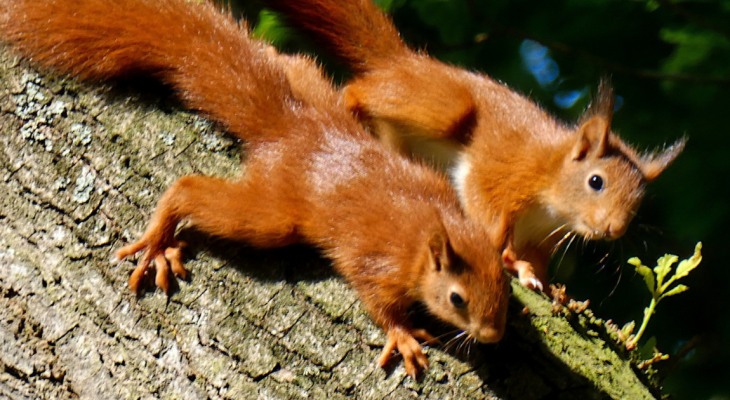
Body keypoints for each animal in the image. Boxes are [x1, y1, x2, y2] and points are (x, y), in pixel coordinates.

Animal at [0, 0, 510, 378]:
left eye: (504, 290)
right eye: (457, 299)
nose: (492, 336)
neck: (432, 229)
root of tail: (293, 130)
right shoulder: (377, 263)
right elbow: (379, 303)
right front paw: (402, 335)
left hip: (311, 88)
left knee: (295, 64)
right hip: (273, 216)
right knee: (189, 190)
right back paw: (158, 241)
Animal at [263, 0, 687, 291]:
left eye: (638, 202)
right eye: (596, 181)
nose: (614, 229)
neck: (552, 195)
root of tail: (404, 61)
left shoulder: (542, 239)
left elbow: (536, 261)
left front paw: (539, 279)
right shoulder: (504, 170)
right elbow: (485, 207)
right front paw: (508, 259)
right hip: (445, 106)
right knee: (358, 90)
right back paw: (349, 103)